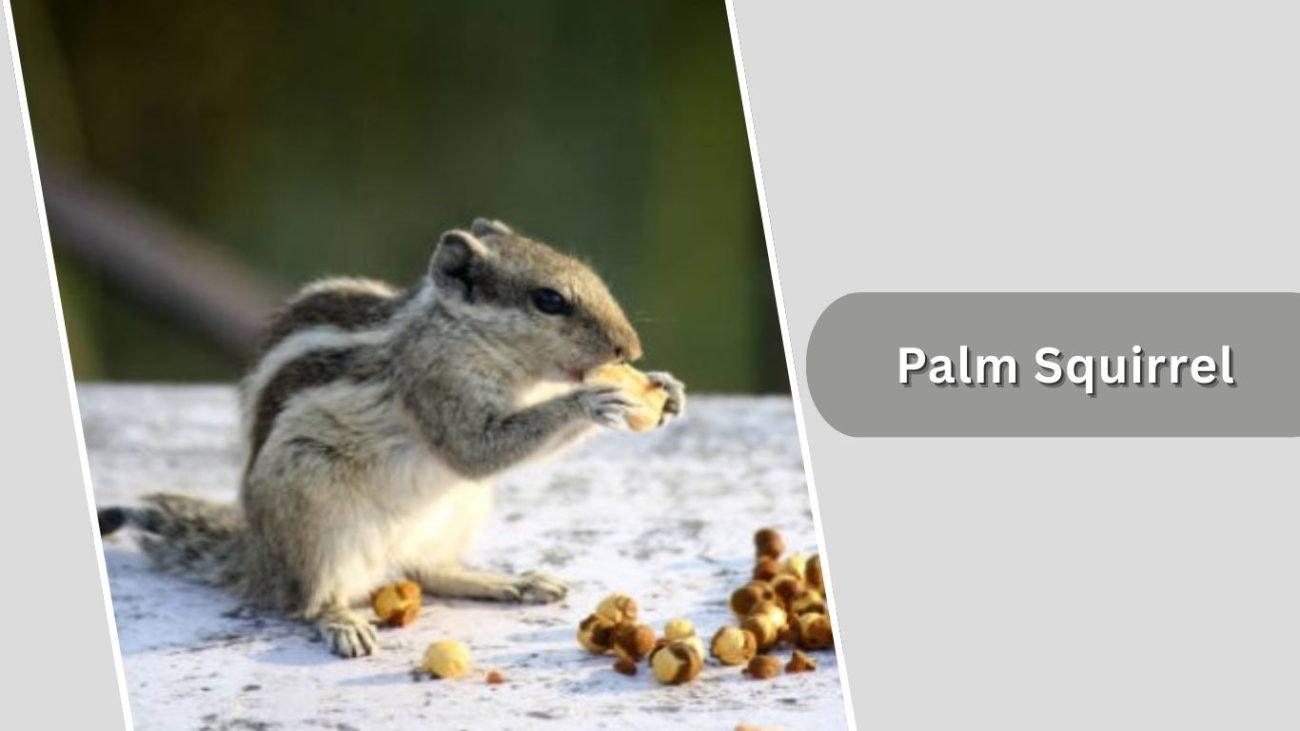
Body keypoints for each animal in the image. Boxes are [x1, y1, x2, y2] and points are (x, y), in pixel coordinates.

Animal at [97, 218, 686, 658]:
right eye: (549, 300)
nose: (630, 349)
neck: (461, 332)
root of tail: (261, 558)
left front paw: (668, 390)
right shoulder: (436, 384)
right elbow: (474, 451)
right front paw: (594, 401)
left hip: (459, 511)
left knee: (429, 571)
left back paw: (507, 583)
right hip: (314, 511)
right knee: (306, 601)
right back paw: (340, 621)